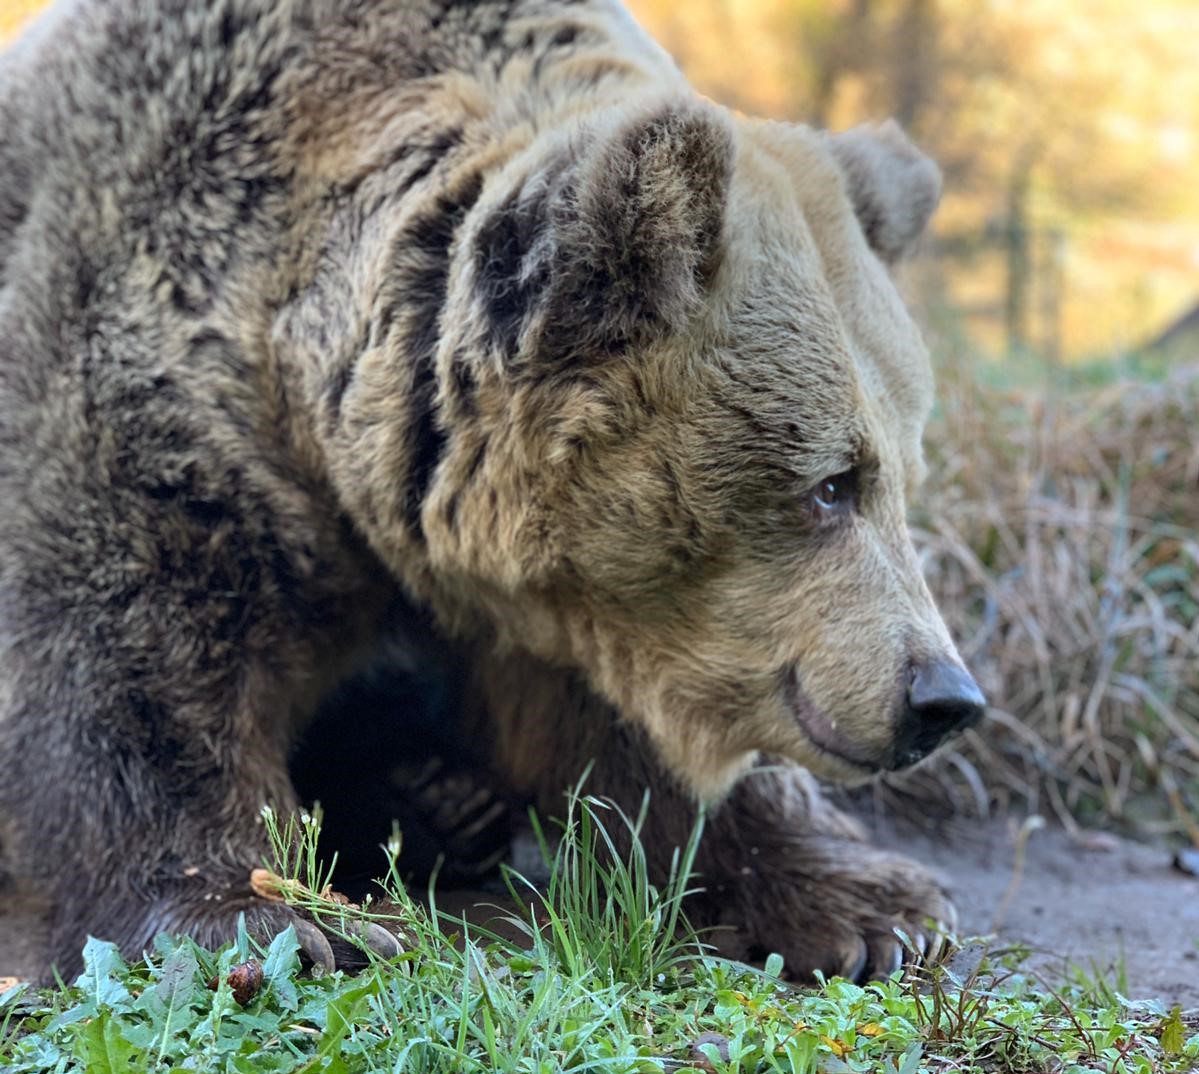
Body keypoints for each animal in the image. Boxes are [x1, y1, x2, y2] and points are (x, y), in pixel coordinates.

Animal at [0, 0, 983, 982]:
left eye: (904, 475)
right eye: (830, 483)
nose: (942, 698)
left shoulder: (589, 610)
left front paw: (877, 907)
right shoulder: (153, 385)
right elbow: (132, 663)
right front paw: (269, 917)